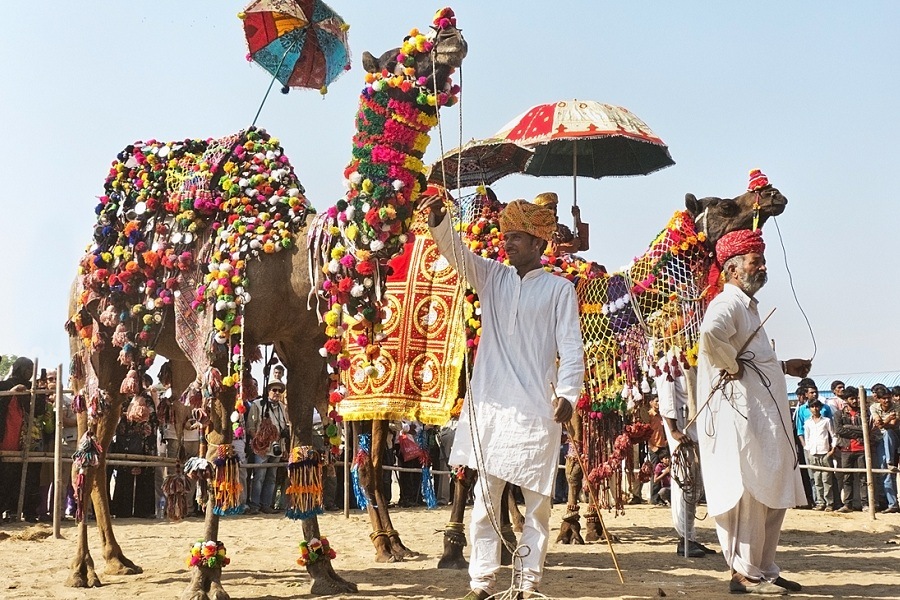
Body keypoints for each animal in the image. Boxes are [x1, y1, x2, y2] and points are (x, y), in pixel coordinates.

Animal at [67, 10, 468, 600]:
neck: (294, 254)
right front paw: (204, 576)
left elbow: (302, 451)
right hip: (95, 342)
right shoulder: (215, 341)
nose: (450, 35)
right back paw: (84, 569)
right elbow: (217, 452)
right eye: (403, 52)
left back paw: (119, 560)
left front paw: (324, 570)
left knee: (100, 445)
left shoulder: (302, 347)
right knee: (91, 444)